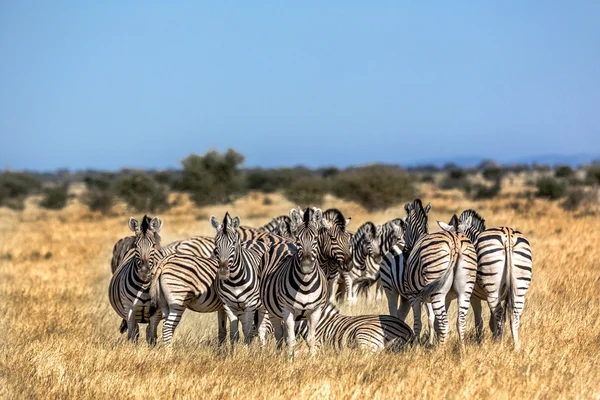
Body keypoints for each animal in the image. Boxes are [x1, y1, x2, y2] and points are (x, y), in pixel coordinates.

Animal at [108, 216, 163, 344]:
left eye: (153, 245)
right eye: (137, 246)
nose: (144, 271)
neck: (144, 285)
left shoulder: (156, 311)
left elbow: (152, 337)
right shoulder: (129, 309)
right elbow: (132, 335)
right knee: (135, 331)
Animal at [210, 212, 268, 346]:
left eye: (233, 242)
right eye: (216, 244)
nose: (223, 271)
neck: (235, 281)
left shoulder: (250, 305)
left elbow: (248, 333)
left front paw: (247, 351)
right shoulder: (228, 305)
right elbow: (234, 334)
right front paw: (234, 351)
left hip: (262, 306)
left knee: (261, 330)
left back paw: (262, 349)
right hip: (240, 309)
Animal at [260, 208, 328, 358]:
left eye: (315, 238)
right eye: (298, 239)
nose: (306, 266)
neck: (305, 285)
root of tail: (285, 241)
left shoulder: (315, 311)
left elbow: (310, 339)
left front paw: (312, 359)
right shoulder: (287, 310)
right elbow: (291, 340)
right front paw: (290, 361)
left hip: (298, 316)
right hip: (273, 311)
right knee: (280, 336)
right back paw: (279, 355)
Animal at [438, 209, 532, 350]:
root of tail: (507, 234)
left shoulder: (473, 296)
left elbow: (479, 321)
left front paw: (481, 341)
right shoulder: (504, 296)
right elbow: (497, 320)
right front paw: (493, 337)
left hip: (492, 288)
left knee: (499, 312)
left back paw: (500, 343)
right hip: (519, 285)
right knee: (515, 313)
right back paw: (515, 346)